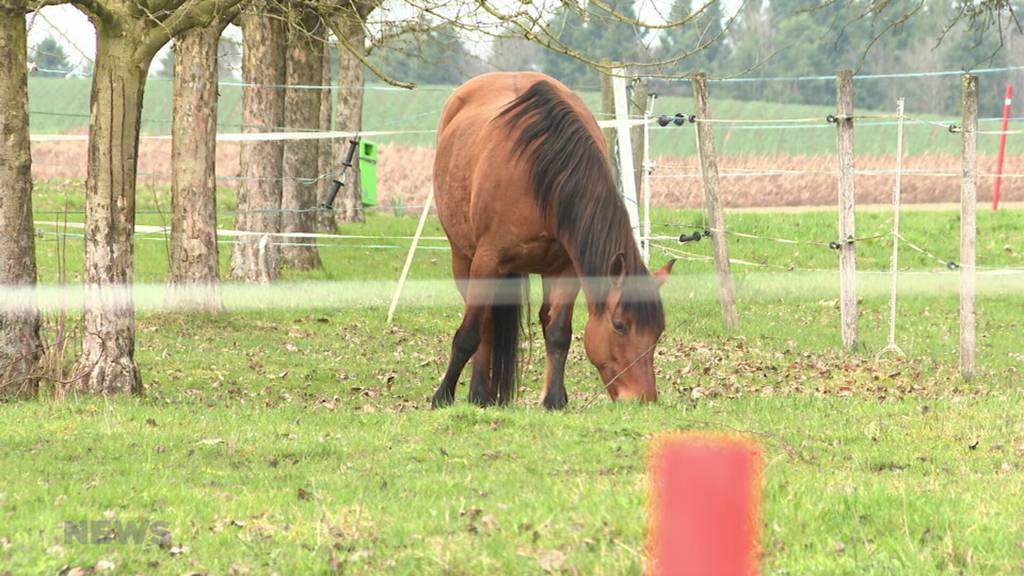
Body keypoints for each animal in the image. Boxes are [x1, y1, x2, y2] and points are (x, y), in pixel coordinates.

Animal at [430, 71, 671, 407]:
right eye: (620, 325)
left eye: (658, 331)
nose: (642, 398)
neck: (542, 172)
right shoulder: (487, 261)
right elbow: (468, 334)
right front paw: (443, 395)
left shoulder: (567, 269)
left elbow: (558, 332)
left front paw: (554, 400)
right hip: (463, 258)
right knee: (485, 324)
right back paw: (479, 392)